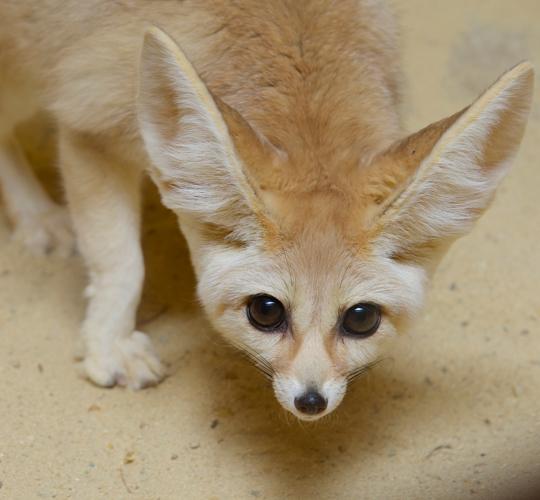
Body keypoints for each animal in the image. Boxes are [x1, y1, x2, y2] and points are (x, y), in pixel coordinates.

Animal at [0, 1, 532, 420]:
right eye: (265, 311)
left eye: (361, 320)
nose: (311, 402)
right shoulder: (90, 126)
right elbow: (122, 262)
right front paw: (108, 346)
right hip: (20, 72)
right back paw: (38, 216)